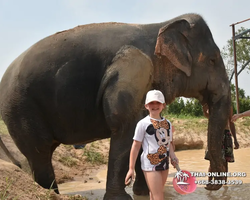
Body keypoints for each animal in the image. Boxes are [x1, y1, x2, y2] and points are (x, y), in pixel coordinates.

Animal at [0, 13, 230, 199]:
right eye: (212, 59)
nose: (209, 186)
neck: (159, 27)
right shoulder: (132, 70)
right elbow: (124, 127)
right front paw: (122, 198)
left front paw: (143, 193)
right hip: (20, 108)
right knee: (39, 153)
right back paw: (52, 194)